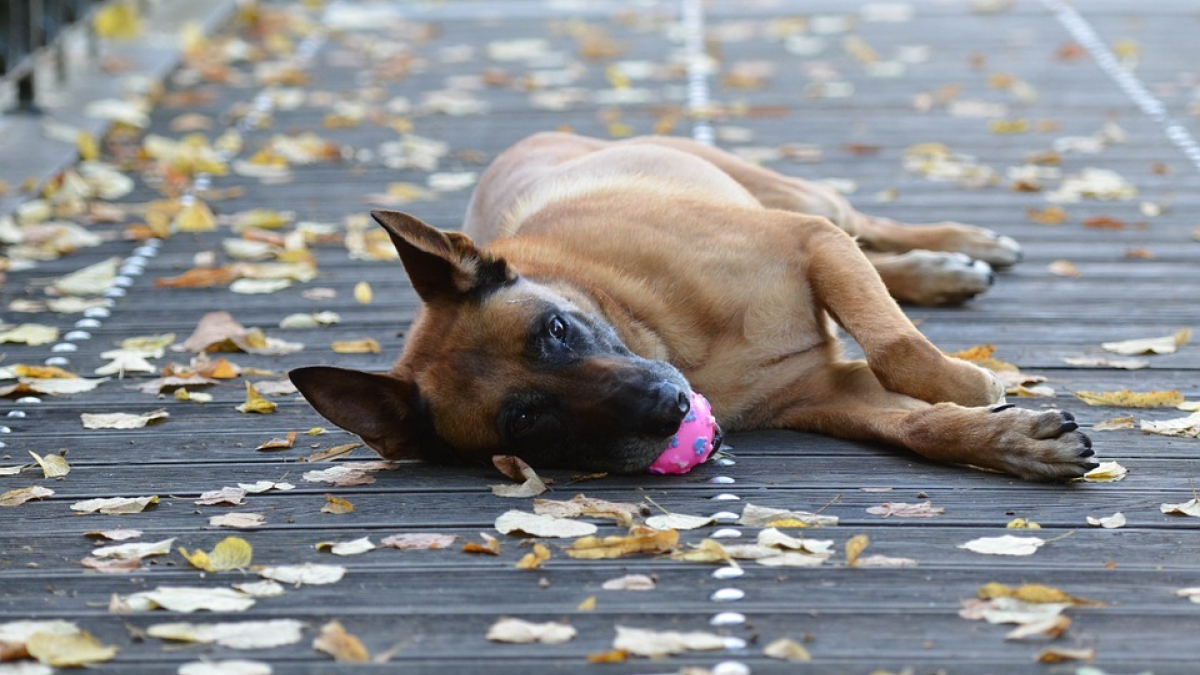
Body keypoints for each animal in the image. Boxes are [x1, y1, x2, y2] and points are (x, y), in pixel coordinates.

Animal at [292, 131, 1099, 478]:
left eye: (554, 329)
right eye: (527, 421)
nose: (668, 408)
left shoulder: (810, 242)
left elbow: (899, 347)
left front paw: (967, 383)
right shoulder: (830, 393)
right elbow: (918, 426)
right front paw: (1011, 441)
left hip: (806, 201)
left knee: (862, 225)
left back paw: (954, 249)